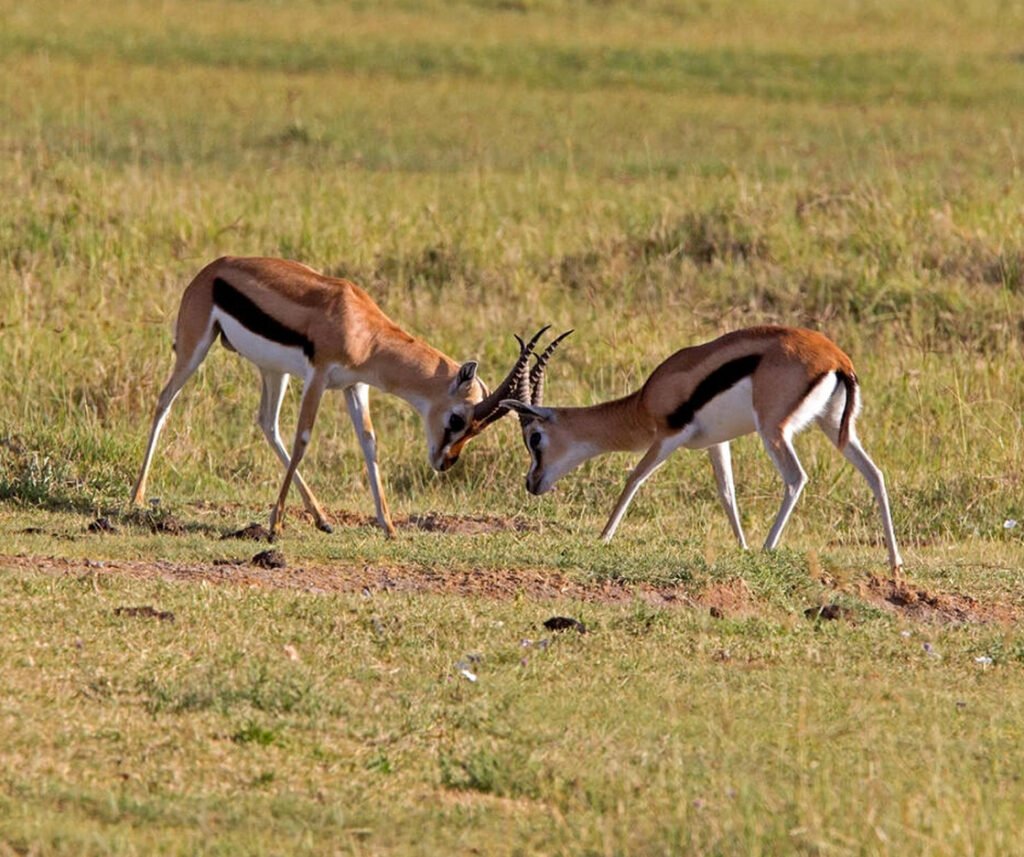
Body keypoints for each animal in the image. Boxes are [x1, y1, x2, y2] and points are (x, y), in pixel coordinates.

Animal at [131, 256, 540, 539]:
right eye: (457, 418)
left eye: (475, 430)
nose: (446, 462)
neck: (364, 330)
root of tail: (213, 268)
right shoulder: (318, 376)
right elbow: (304, 439)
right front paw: (275, 525)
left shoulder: (354, 387)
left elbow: (370, 444)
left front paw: (389, 526)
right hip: (194, 348)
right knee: (164, 403)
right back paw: (136, 498)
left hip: (273, 371)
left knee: (267, 423)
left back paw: (323, 519)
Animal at [502, 326, 903, 570]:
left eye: (534, 437)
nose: (531, 484)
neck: (646, 400)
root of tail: (837, 359)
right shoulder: (717, 443)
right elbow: (727, 493)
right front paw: (741, 546)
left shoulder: (668, 436)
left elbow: (634, 478)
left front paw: (603, 537)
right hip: (834, 426)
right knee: (875, 474)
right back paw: (895, 561)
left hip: (773, 430)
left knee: (796, 477)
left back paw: (768, 547)